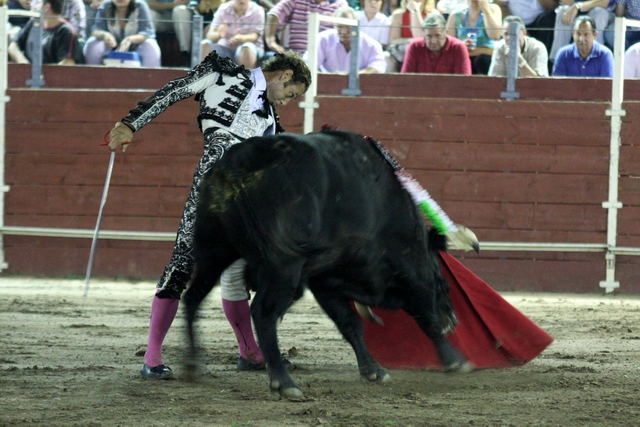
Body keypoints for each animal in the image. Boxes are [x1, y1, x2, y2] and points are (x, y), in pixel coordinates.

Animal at [184, 130, 470, 402]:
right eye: (444, 285)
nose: (454, 321)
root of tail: (237, 166)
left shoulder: (325, 278)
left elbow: (350, 323)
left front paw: (373, 370)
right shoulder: (410, 273)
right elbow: (425, 316)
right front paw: (455, 360)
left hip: (213, 251)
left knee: (193, 297)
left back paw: (192, 365)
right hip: (283, 266)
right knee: (262, 312)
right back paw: (284, 383)